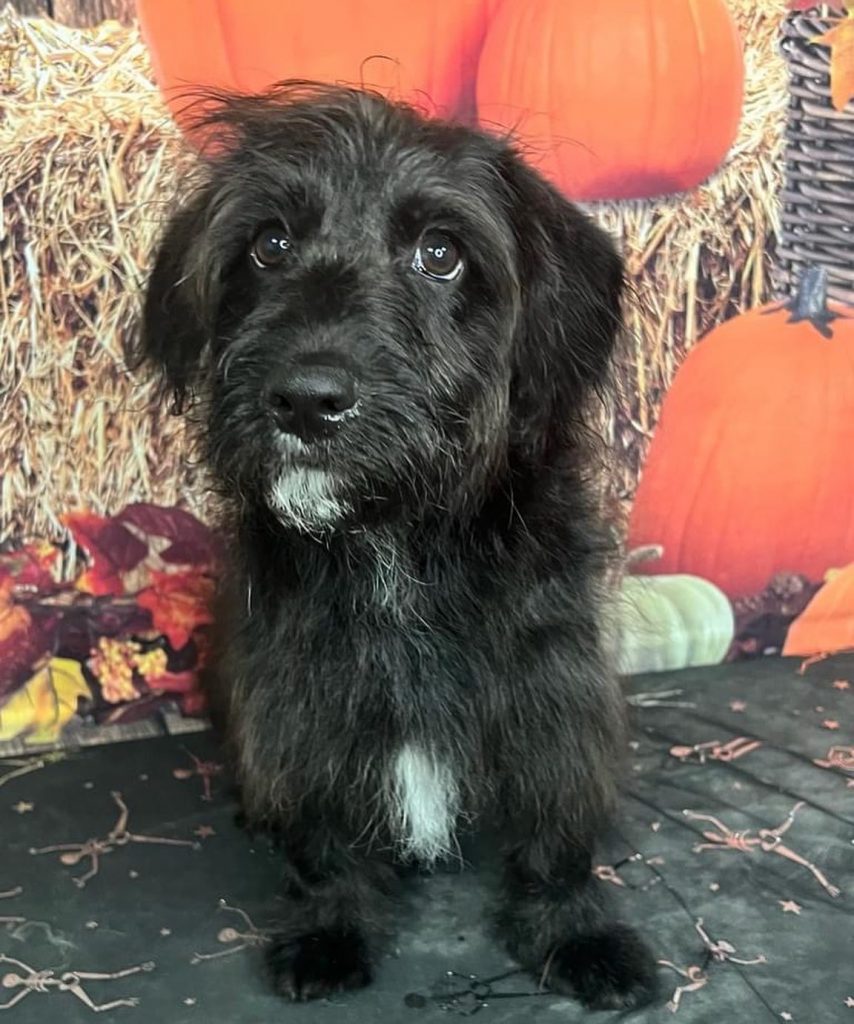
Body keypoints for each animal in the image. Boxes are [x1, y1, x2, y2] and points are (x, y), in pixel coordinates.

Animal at [133, 83, 655, 1011]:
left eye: (440, 252)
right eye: (269, 244)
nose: (305, 400)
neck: (393, 537)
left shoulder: (551, 686)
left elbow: (556, 835)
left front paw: (577, 934)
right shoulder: (298, 693)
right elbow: (322, 834)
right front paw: (329, 925)